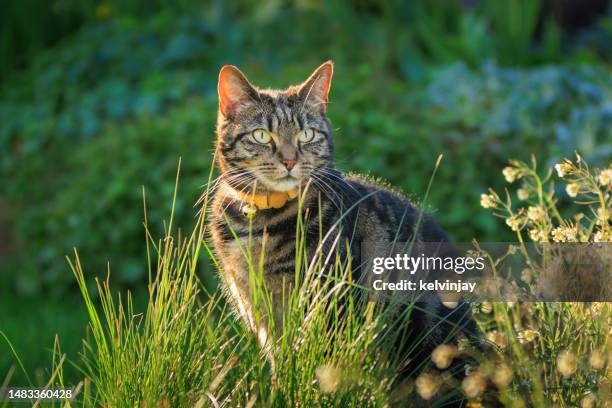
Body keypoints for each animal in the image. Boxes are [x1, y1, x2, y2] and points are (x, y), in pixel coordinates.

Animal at [208, 60, 476, 388]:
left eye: (307, 134)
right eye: (261, 135)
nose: (289, 160)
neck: (262, 221)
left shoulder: (327, 304)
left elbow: (315, 366)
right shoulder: (256, 309)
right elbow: (280, 362)